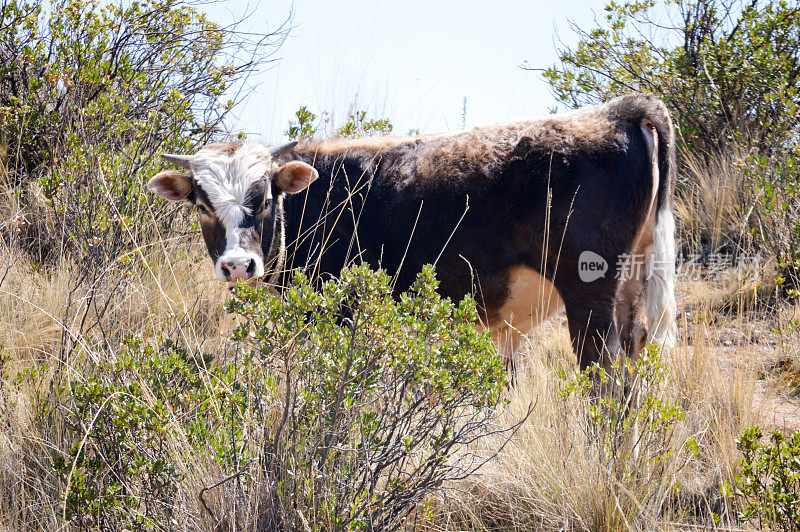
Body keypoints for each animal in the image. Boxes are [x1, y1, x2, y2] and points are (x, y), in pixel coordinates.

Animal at [148, 93, 676, 368]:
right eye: (202, 205)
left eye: (262, 199)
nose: (238, 265)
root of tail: (618, 110)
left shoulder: (333, 313)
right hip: (630, 293)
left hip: (590, 296)